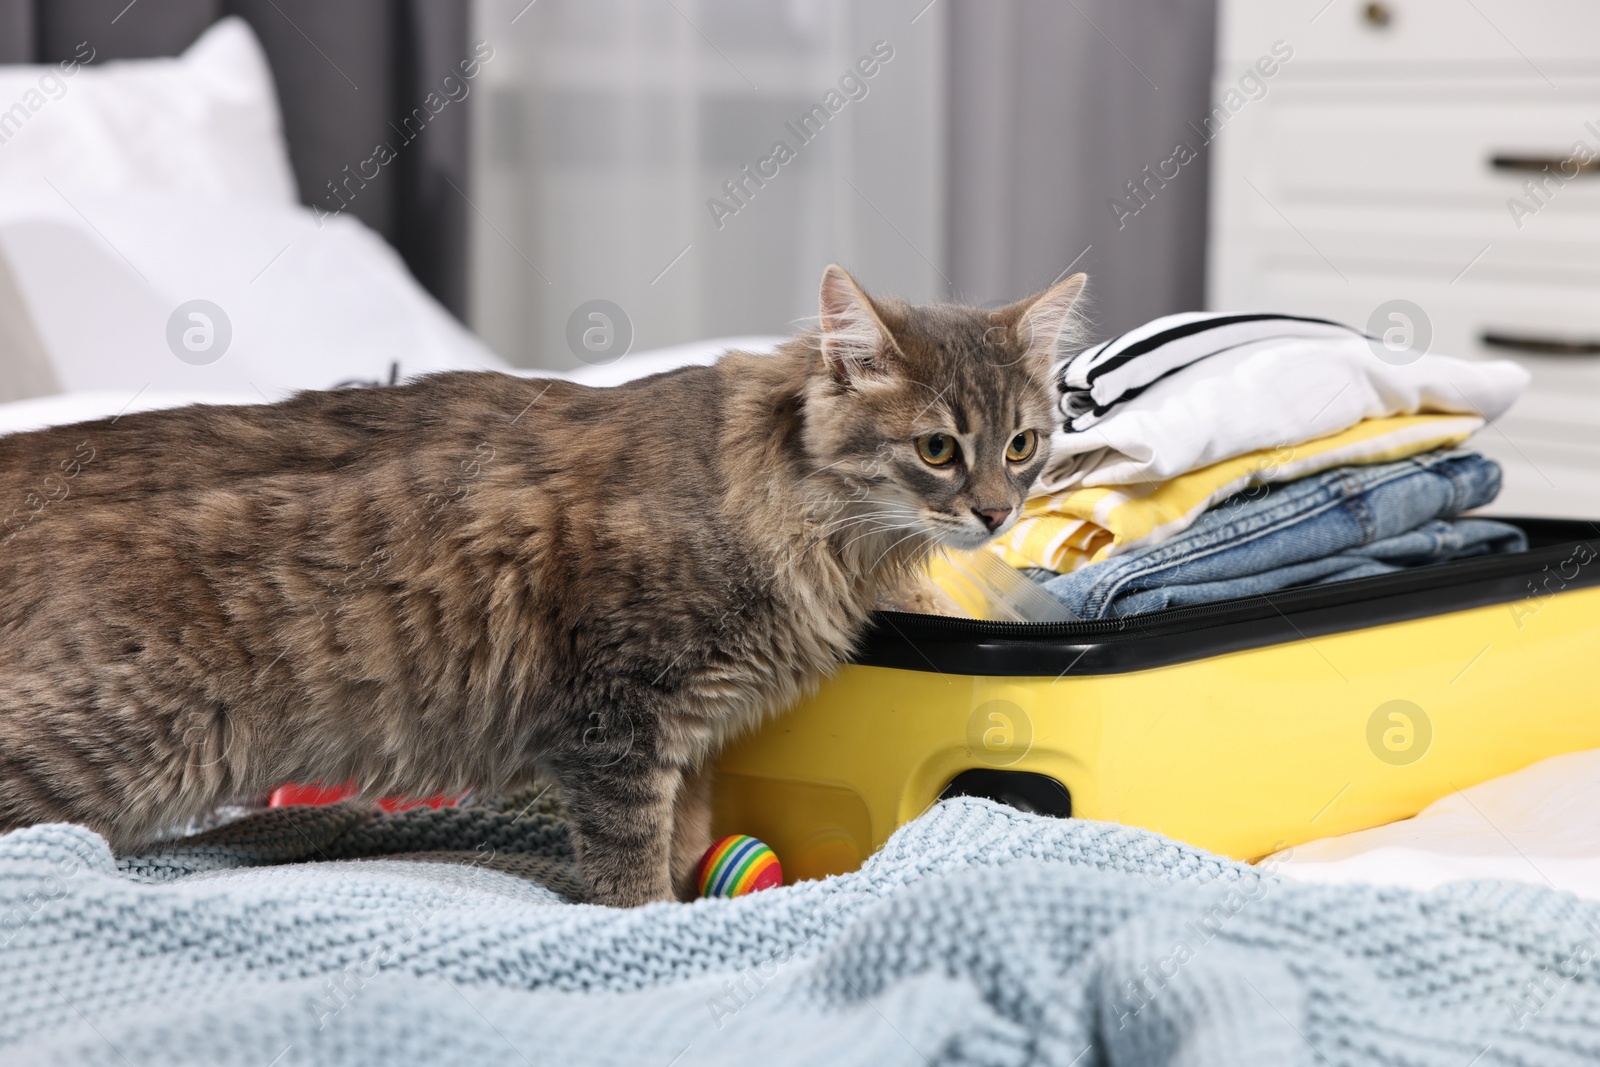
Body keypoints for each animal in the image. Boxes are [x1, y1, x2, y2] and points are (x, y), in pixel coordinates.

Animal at [0, 262, 1088, 908]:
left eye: (1024, 444)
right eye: (938, 448)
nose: (996, 514)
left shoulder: (688, 735)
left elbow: (687, 827)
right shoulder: (618, 716)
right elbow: (628, 854)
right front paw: (649, 923)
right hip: (109, 743)